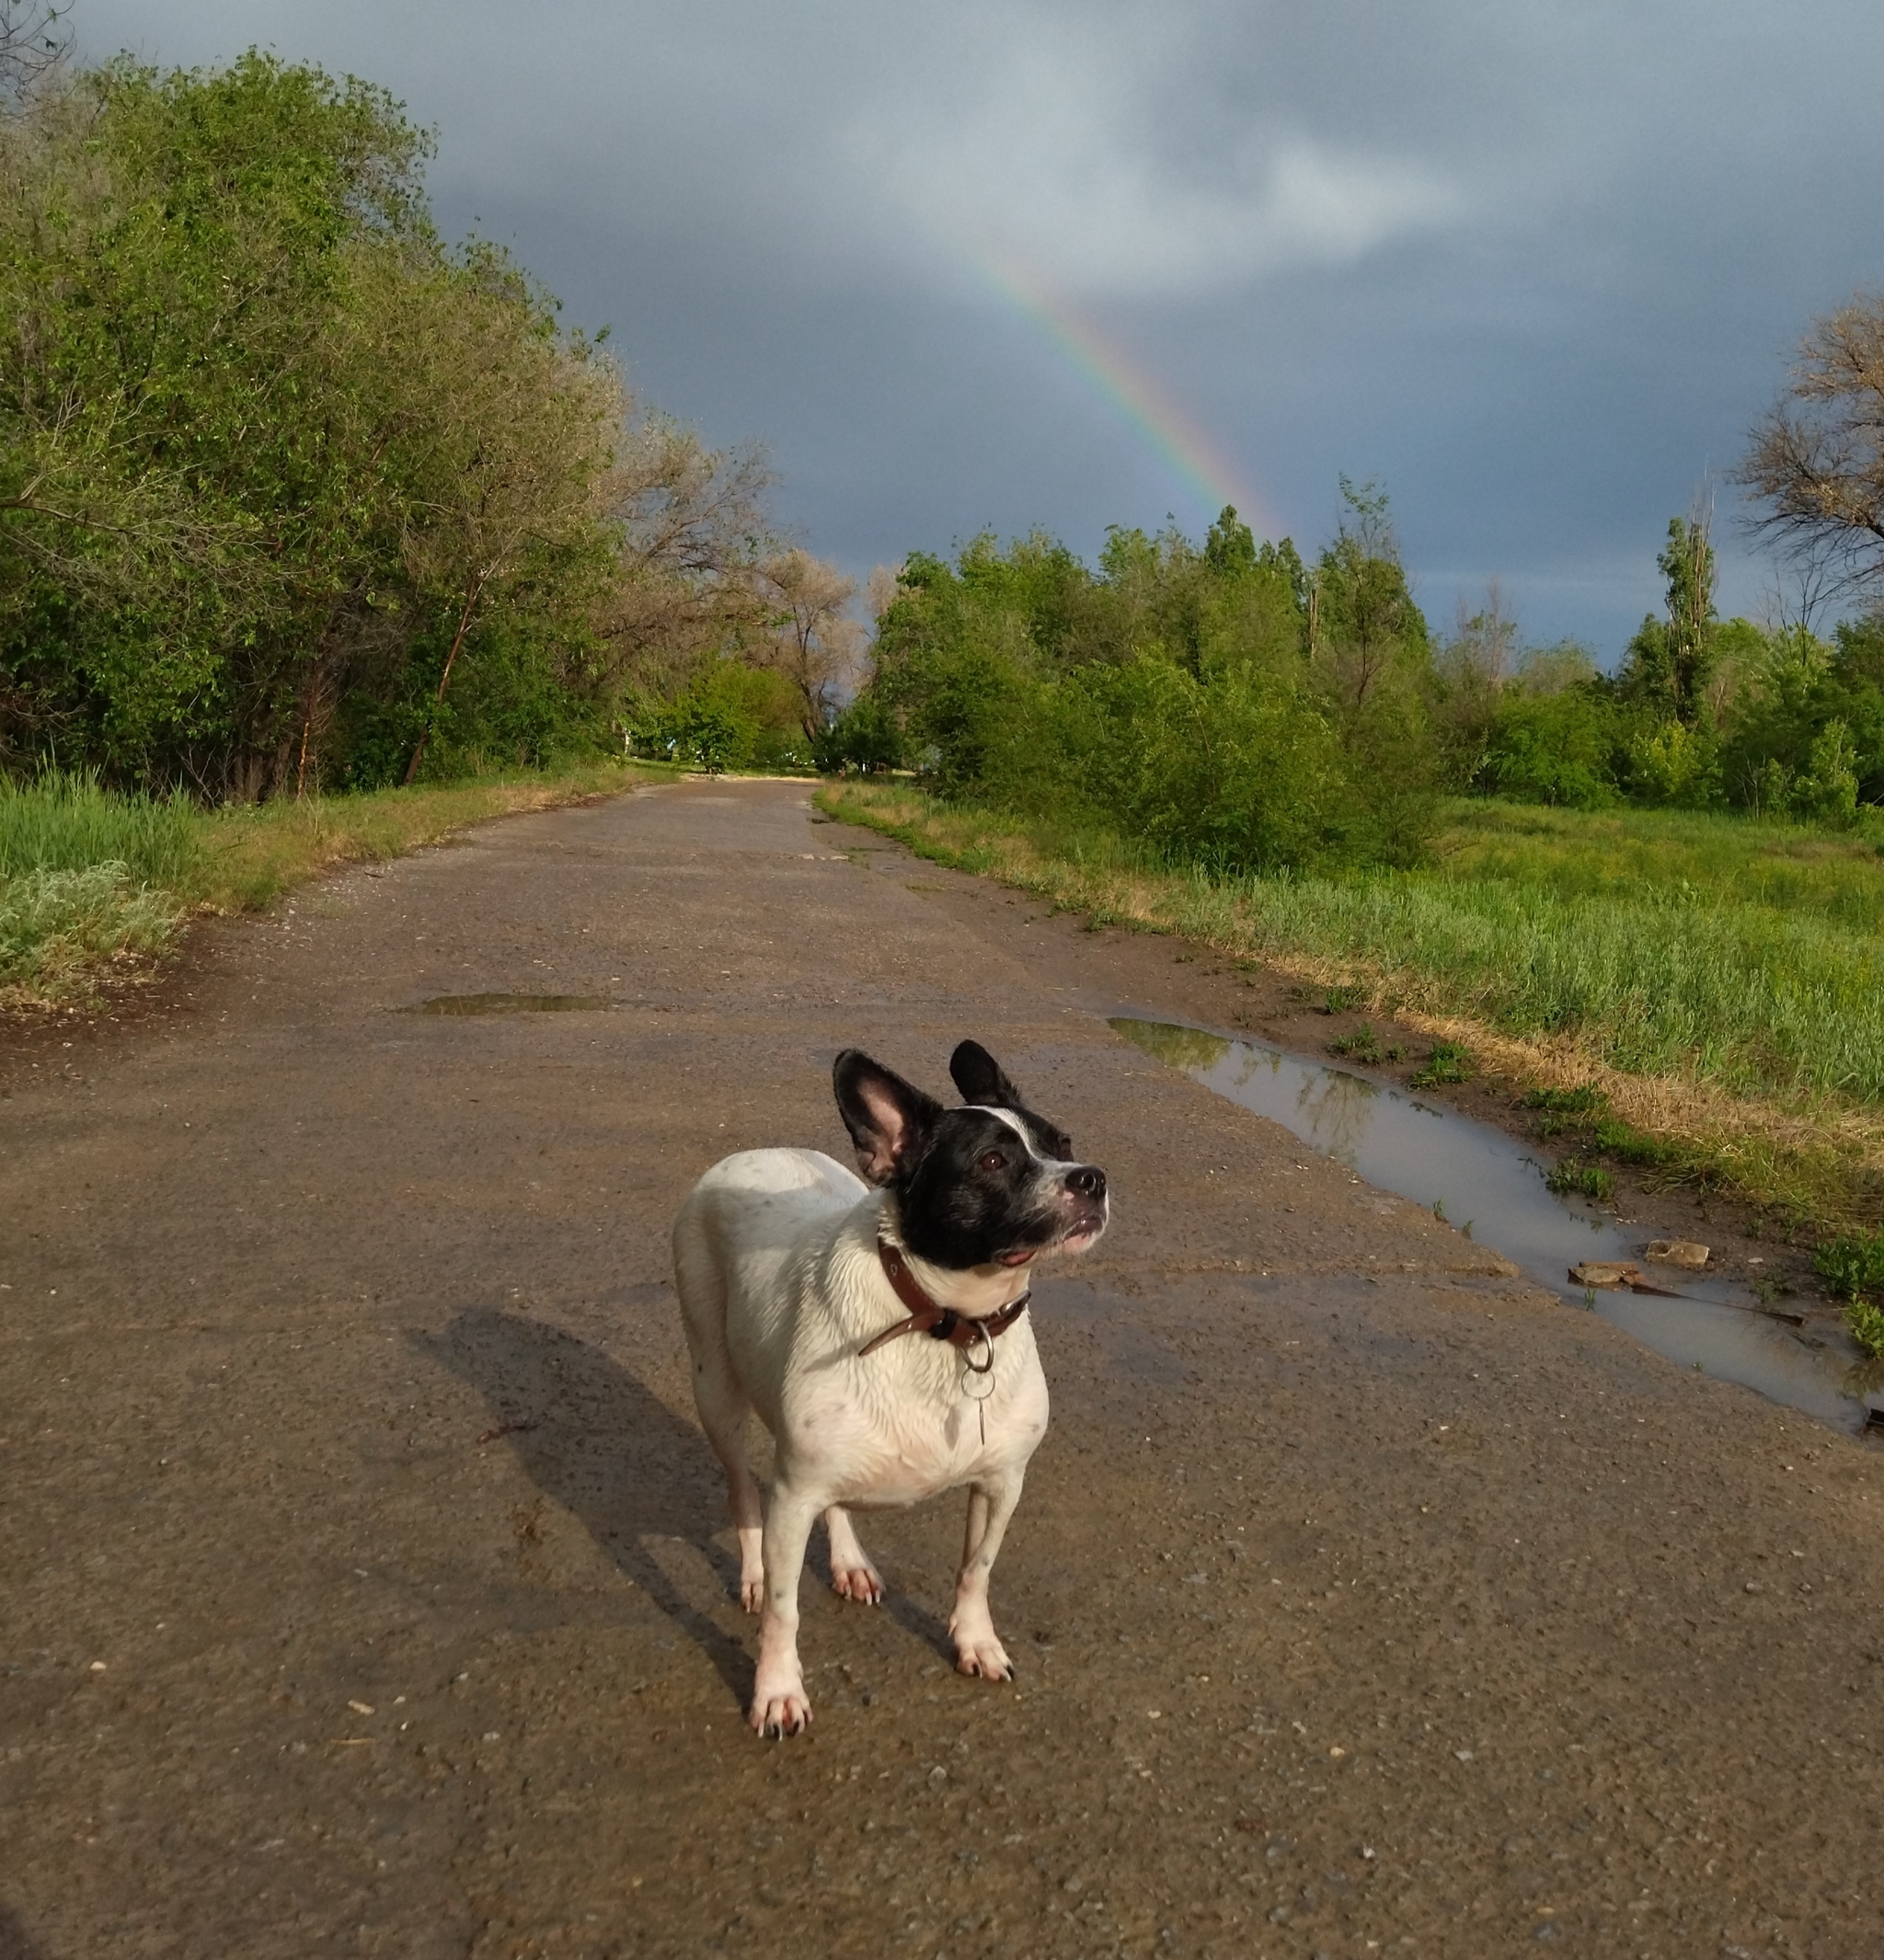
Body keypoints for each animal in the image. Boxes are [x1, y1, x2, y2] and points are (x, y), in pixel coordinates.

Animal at [674, 1050, 1113, 1740]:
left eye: (1062, 1144)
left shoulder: (1002, 1483)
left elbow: (976, 1569)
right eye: (992, 1161)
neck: (947, 1320)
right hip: (716, 1391)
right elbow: (784, 1609)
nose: (1090, 1178)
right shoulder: (792, 1498)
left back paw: (850, 1561)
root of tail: (751, 1154)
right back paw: (751, 1572)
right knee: (742, 1489)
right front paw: (776, 1689)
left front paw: (975, 1642)